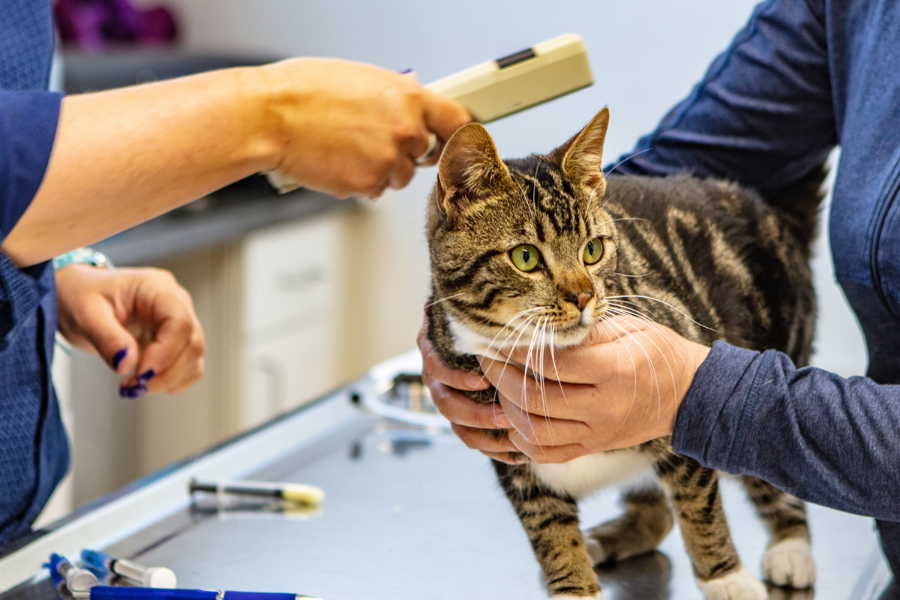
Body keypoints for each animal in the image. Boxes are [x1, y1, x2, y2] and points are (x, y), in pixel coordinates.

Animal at [426, 109, 820, 600]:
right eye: (525, 257)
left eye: (592, 250)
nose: (582, 296)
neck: (540, 355)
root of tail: (772, 214)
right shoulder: (514, 462)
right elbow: (551, 533)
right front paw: (575, 584)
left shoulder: (679, 407)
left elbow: (699, 505)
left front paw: (725, 576)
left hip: (776, 347)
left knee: (771, 460)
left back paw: (791, 546)